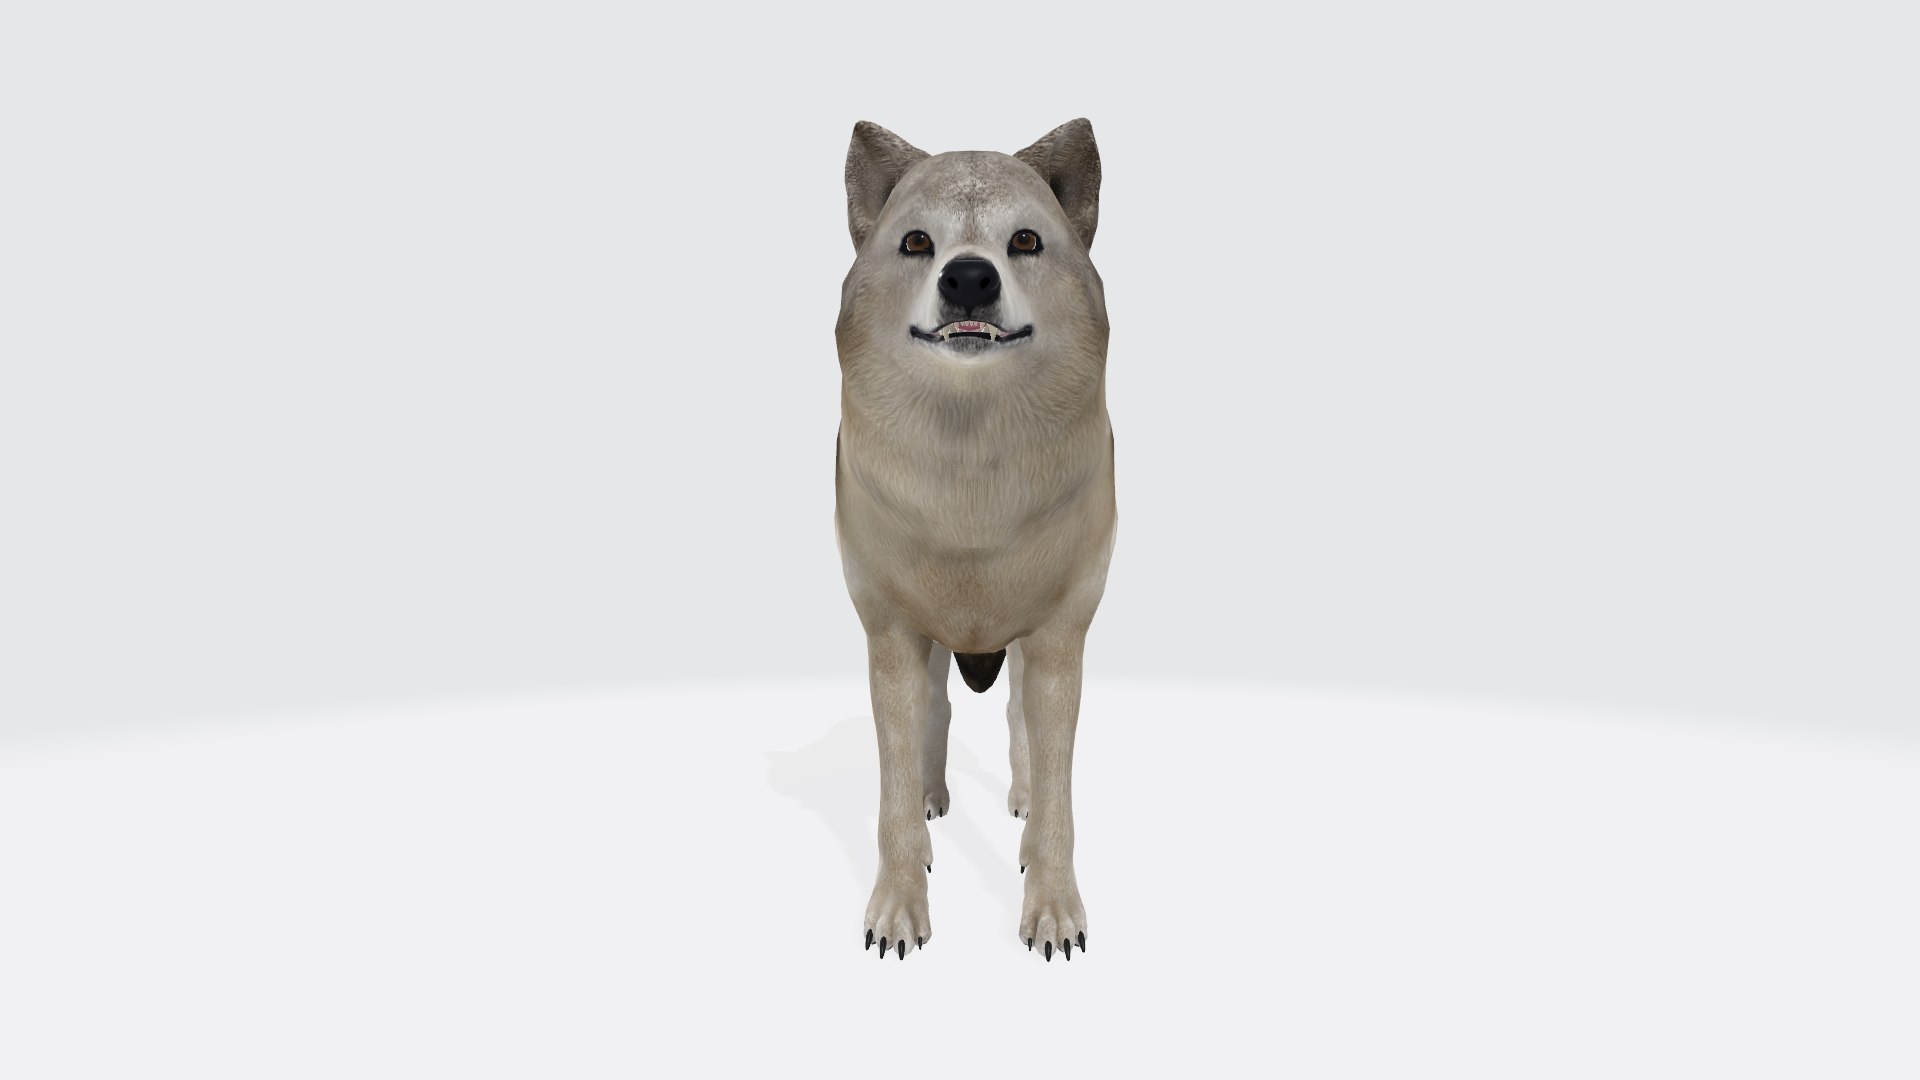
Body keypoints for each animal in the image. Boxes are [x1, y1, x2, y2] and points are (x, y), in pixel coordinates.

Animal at [834, 119, 1115, 963]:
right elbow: (893, 787)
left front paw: (1053, 911)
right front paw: (897, 910)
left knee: (1018, 719)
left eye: (1024, 239)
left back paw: (1017, 805)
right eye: (916, 242)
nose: (966, 279)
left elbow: (1056, 785)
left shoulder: (1059, 636)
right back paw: (934, 801)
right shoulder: (891, 632)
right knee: (937, 714)